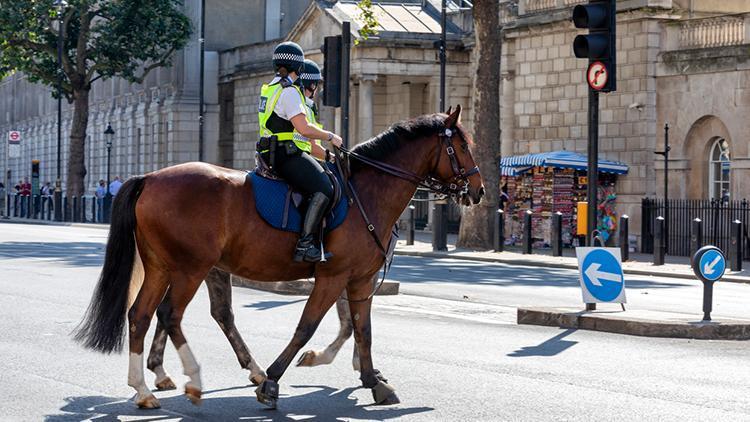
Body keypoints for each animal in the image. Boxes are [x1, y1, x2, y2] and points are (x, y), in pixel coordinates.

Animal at [73, 105, 484, 408]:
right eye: (463, 147)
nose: (479, 190)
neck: (365, 194)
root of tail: (150, 177)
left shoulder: (360, 279)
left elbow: (362, 330)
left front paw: (373, 380)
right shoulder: (333, 277)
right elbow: (307, 327)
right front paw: (272, 381)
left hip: (165, 267)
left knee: (143, 316)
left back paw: (144, 388)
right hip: (191, 268)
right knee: (171, 315)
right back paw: (194, 379)